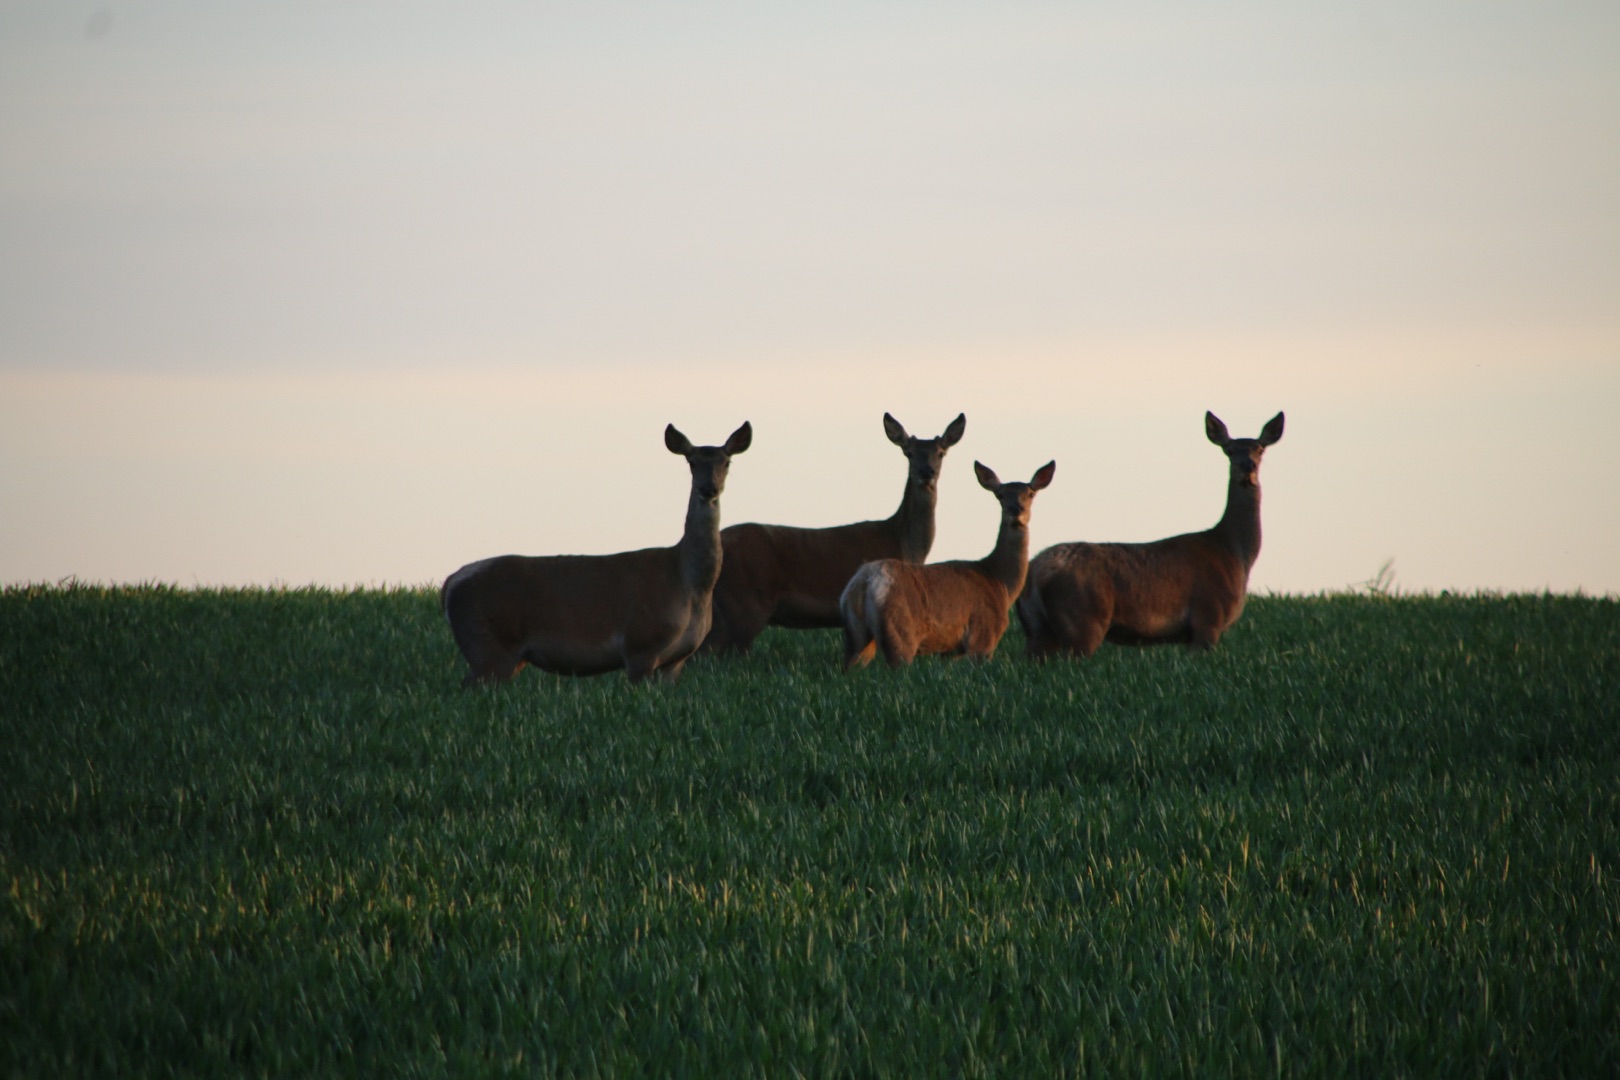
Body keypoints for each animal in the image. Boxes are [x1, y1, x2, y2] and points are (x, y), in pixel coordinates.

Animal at [441, 422, 751, 687]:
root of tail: (450, 584)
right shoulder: (640, 644)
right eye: (691, 462)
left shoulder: (676, 661)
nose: (708, 489)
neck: (689, 584)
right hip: (488, 645)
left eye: (726, 462)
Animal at [840, 459, 1056, 669]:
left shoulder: (951, 650)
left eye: (1030, 493)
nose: (1016, 511)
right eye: (1000, 495)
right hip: (899, 630)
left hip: (855, 633)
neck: (1000, 581)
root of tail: (865, 582)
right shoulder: (983, 636)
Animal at [1017, 411, 1284, 658]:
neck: (1233, 553)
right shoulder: (1208, 617)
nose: (1247, 466)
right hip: (1082, 618)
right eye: (1229, 450)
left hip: (1037, 626)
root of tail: (1036, 570)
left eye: (1260, 449)